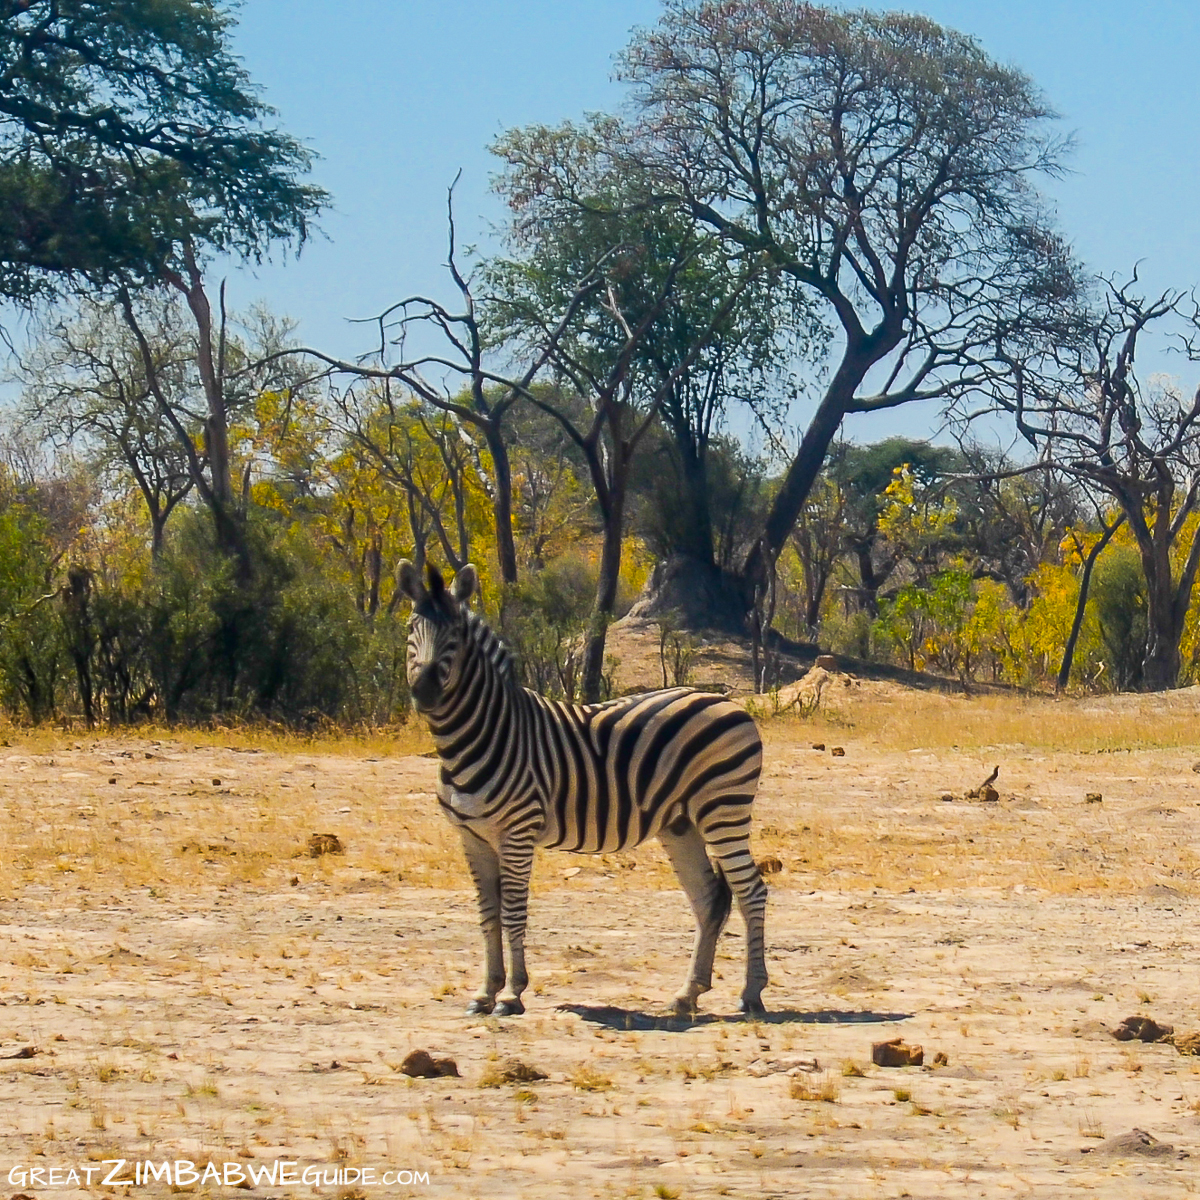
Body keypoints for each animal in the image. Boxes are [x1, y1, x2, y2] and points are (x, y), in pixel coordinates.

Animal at [396, 559, 768, 1017]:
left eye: (454, 636)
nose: (425, 691)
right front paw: (485, 992)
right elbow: (488, 915)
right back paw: (687, 994)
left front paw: (511, 994)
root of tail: (727, 701)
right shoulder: (471, 837)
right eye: (411, 627)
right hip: (680, 824)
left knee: (751, 891)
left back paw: (751, 993)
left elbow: (513, 911)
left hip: (723, 809)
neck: (477, 736)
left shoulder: (518, 832)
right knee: (709, 898)